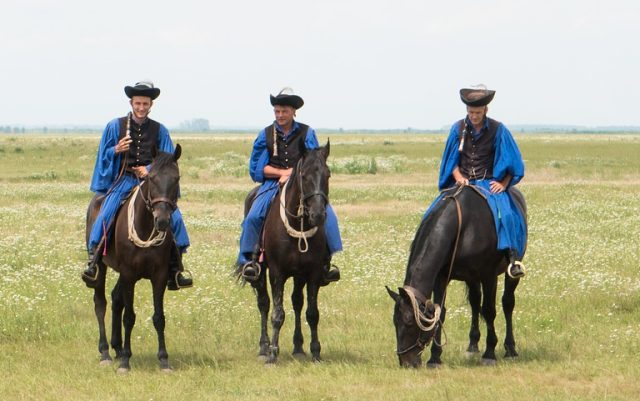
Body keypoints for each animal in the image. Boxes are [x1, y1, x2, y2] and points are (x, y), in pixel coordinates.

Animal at [84, 144, 181, 372]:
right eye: (151, 178)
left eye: (176, 178)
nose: (162, 220)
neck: (145, 226)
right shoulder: (129, 274)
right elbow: (129, 317)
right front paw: (126, 362)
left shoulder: (159, 276)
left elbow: (159, 317)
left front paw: (163, 360)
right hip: (102, 267)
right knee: (100, 303)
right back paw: (106, 352)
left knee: (116, 299)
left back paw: (117, 348)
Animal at [242, 141, 332, 362]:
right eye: (304, 176)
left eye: (327, 175)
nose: (318, 214)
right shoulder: (277, 273)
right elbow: (277, 314)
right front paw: (273, 352)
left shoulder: (313, 272)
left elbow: (312, 313)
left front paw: (316, 352)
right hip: (259, 272)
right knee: (264, 303)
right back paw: (264, 347)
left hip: (299, 275)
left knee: (297, 302)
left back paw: (298, 347)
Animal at [384, 184, 524, 366]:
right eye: (395, 321)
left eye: (408, 321)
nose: (406, 362)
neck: (464, 226)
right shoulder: (441, 277)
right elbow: (440, 313)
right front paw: (435, 358)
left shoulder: (489, 275)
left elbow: (489, 311)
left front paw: (489, 353)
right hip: (472, 278)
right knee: (474, 303)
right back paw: (473, 345)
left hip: (510, 272)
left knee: (507, 303)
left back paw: (510, 348)